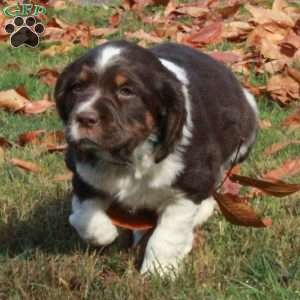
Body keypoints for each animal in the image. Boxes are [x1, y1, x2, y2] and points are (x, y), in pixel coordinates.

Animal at [54, 40, 258, 276]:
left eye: (126, 91)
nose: (84, 118)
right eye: (77, 87)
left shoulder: (189, 187)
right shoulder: (83, 174)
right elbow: (84, 216)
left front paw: (158, 272)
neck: (128, 155)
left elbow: (167, 235)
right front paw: (106, 233)